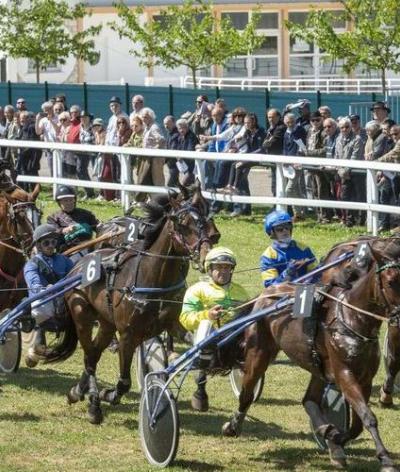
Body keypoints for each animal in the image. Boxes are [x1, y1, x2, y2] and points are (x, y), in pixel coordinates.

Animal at [54, 187, 219, 424]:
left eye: (206, 220)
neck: (154, 280)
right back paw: (94, 404)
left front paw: (200, 394)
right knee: (89, 357)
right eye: (182, 223)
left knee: (94, 353)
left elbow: (198, 344)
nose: (207, 253)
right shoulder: (128, 335)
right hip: (82, 315)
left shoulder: (172, 325)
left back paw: (78, 391)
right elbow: (124, 382)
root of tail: (77, 267)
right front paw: (108, 394)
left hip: (106, 323)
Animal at [223, 242, 400, 470]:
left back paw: (327, 434)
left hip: (317, 367)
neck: (351, 319)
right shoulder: (345, 374)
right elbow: (368, 417)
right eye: (391, 281)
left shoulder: (365, 378)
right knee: (246, 392)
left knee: (309, 400)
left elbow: (357, 424)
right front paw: (385, 459)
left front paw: (334, 435)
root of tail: (269, 292)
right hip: (259, 352)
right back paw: (233, 426)